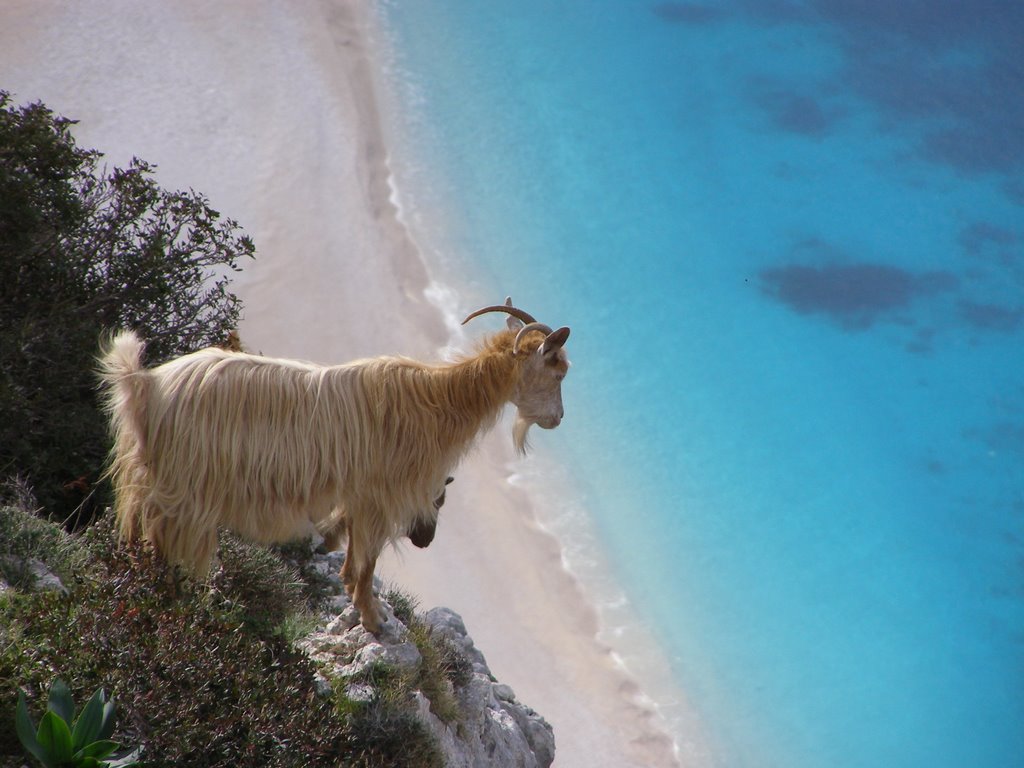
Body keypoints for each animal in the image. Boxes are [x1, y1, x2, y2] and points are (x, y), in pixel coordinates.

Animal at [97, 299, 569, 630]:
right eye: (558, 369)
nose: (558, 419)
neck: (437, 402)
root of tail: (146, 384)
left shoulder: (360, 496)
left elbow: (355, 551)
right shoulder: (382, 494)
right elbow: (370, 559)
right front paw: (373, 619)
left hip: (148, 479)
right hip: (187, 491)